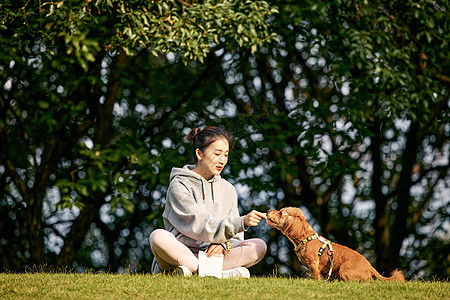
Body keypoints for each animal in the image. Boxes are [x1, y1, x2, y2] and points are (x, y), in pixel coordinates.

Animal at [266, 206, 406, 282]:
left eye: (281, 212)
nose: (268, 211)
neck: (306, 238)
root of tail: (370, 266)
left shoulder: (314, 264)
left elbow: (316, 277)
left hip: (344, 269)